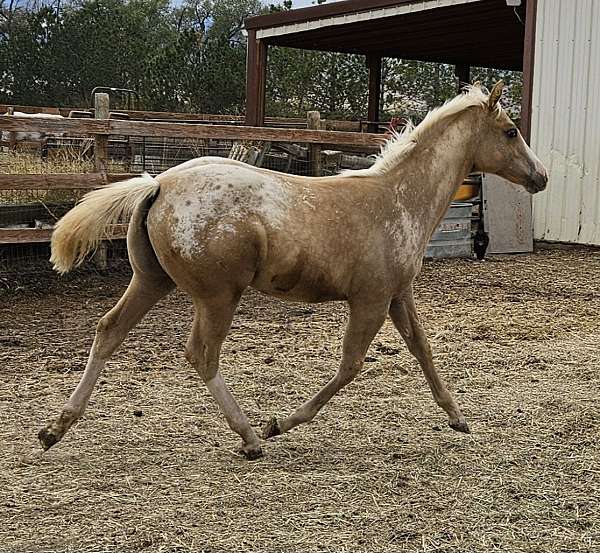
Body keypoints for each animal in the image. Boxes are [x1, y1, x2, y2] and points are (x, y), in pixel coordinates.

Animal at [39, 82, 548, 460]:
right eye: (509, 131)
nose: (540, 177)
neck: (397, 199)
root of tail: (159, 182)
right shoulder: (370, 300)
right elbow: (350, 366)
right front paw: (280, 423)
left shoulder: (398, 295)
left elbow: (423, 350)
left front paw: (458, 417)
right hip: (218, 295)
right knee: (202, 355)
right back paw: (250, 437)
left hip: (151, 281)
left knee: (108, 331)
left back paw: (55, 429)